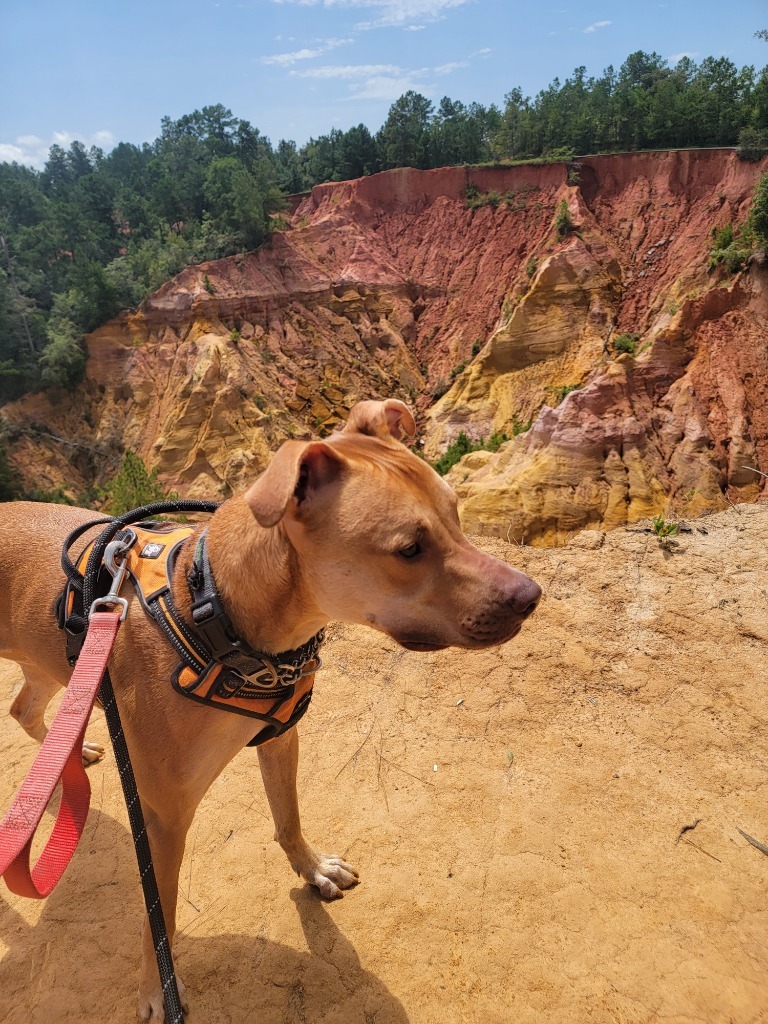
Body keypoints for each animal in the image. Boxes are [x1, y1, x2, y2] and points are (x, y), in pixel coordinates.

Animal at [0, 397, 540, 1015]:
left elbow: (288, 817)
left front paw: (313, 868)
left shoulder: (282, 737)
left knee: (22, 708)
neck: (214, 610)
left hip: (50, 666)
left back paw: (71, 756)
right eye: (409, 548)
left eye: (456, 512)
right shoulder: (162, 817)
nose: (531, 596)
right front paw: (156, 989)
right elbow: (158, 911)